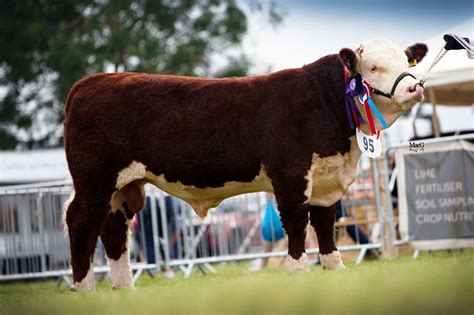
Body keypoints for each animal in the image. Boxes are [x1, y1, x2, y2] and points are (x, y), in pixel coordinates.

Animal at [61, 38, 428, 292]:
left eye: (405, 61)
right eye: (374, 68)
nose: (415, 87)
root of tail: (89, 82)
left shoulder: (326, 178)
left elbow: (325, 224)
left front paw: (335, 270)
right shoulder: (290, 174)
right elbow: (297, 222)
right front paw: (298, 271)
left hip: (122, 187)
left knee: (113, 229)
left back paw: (124, 290)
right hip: (94, 178)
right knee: (81, 221)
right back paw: (86, 290)